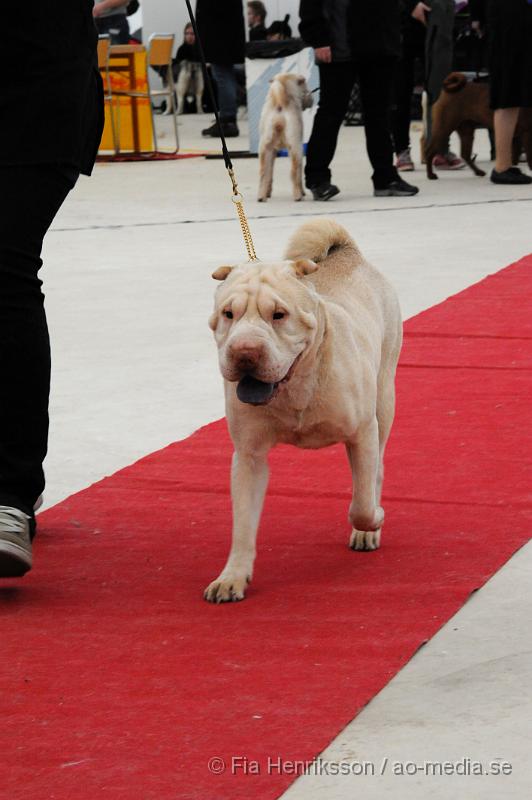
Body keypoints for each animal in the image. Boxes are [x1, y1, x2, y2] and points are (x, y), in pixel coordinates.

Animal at [206, 216, 402, 604]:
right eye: (228, 314)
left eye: (279, 315)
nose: (245, 352)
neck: (295, 386)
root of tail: (349, 253)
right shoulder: (248, 456)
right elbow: (243, 524)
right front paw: (233, 576)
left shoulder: (362, 433)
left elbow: (361, 505)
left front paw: (373, 521)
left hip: (384, 398)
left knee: (377, 468)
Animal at [256, 72, 312, 203]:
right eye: (305, 87)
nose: (311, 99)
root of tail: (280, 103)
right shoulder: (298, 147)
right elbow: (299, 173)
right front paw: (302, 192)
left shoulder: (272, 151)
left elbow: (270, 174)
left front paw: (268, 192)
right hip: (296, 148)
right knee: (294, 172)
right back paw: (298, 195)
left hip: (264, 149)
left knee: (263, 173)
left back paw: (261, 196)